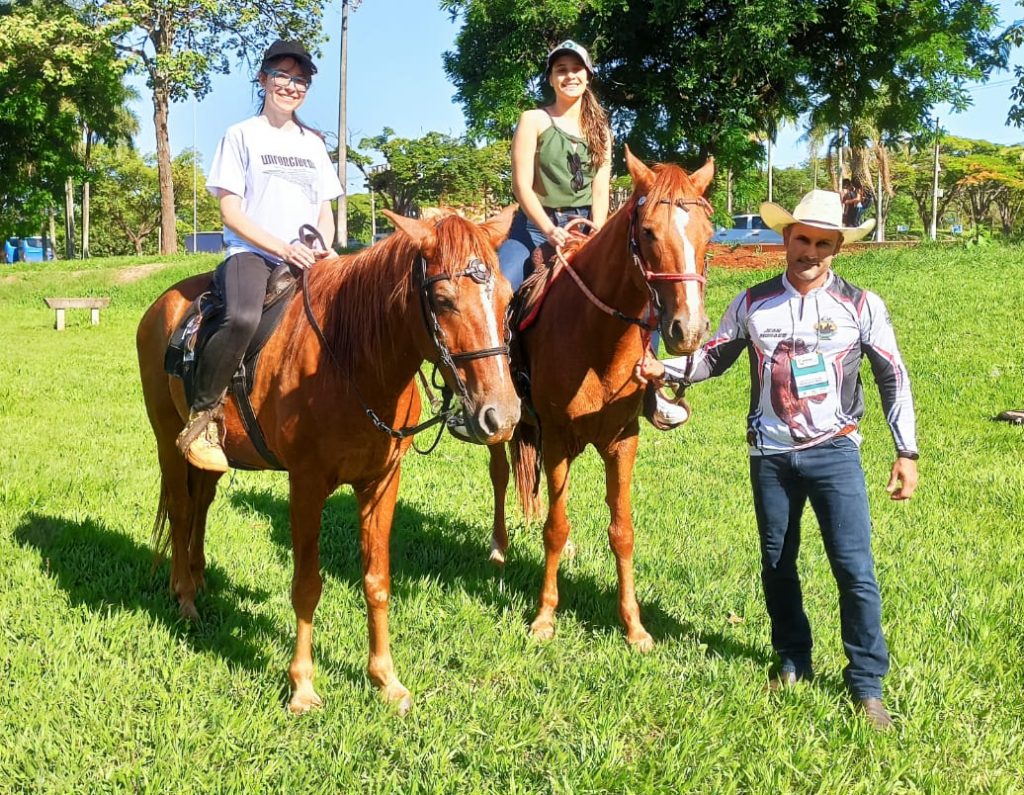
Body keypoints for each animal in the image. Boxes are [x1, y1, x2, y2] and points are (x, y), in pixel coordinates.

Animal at [137, 207, 520, 713]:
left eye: (508, 298)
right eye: (442, 300)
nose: (502, 415)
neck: (353, 358)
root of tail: (160, 307)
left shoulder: (381, 482)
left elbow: (376, 581)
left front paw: (385, 679)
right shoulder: (306, 485)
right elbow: (306, 586)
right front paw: (301, 686)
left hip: (210, 459)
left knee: (200, 505)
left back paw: (198, 581)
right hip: (165, 436)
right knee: (181, 512)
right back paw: (184, 597)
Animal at [485, 150, 712, 651]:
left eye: (708, 233)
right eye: (648, 232)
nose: (688, 330)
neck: (595, 336)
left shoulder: (622, 440)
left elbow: (621, 531)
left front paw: (634, 626)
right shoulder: (556, 438)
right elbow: (554, 527)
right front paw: (545, 617)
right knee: (500, 474)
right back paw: (498, 547)